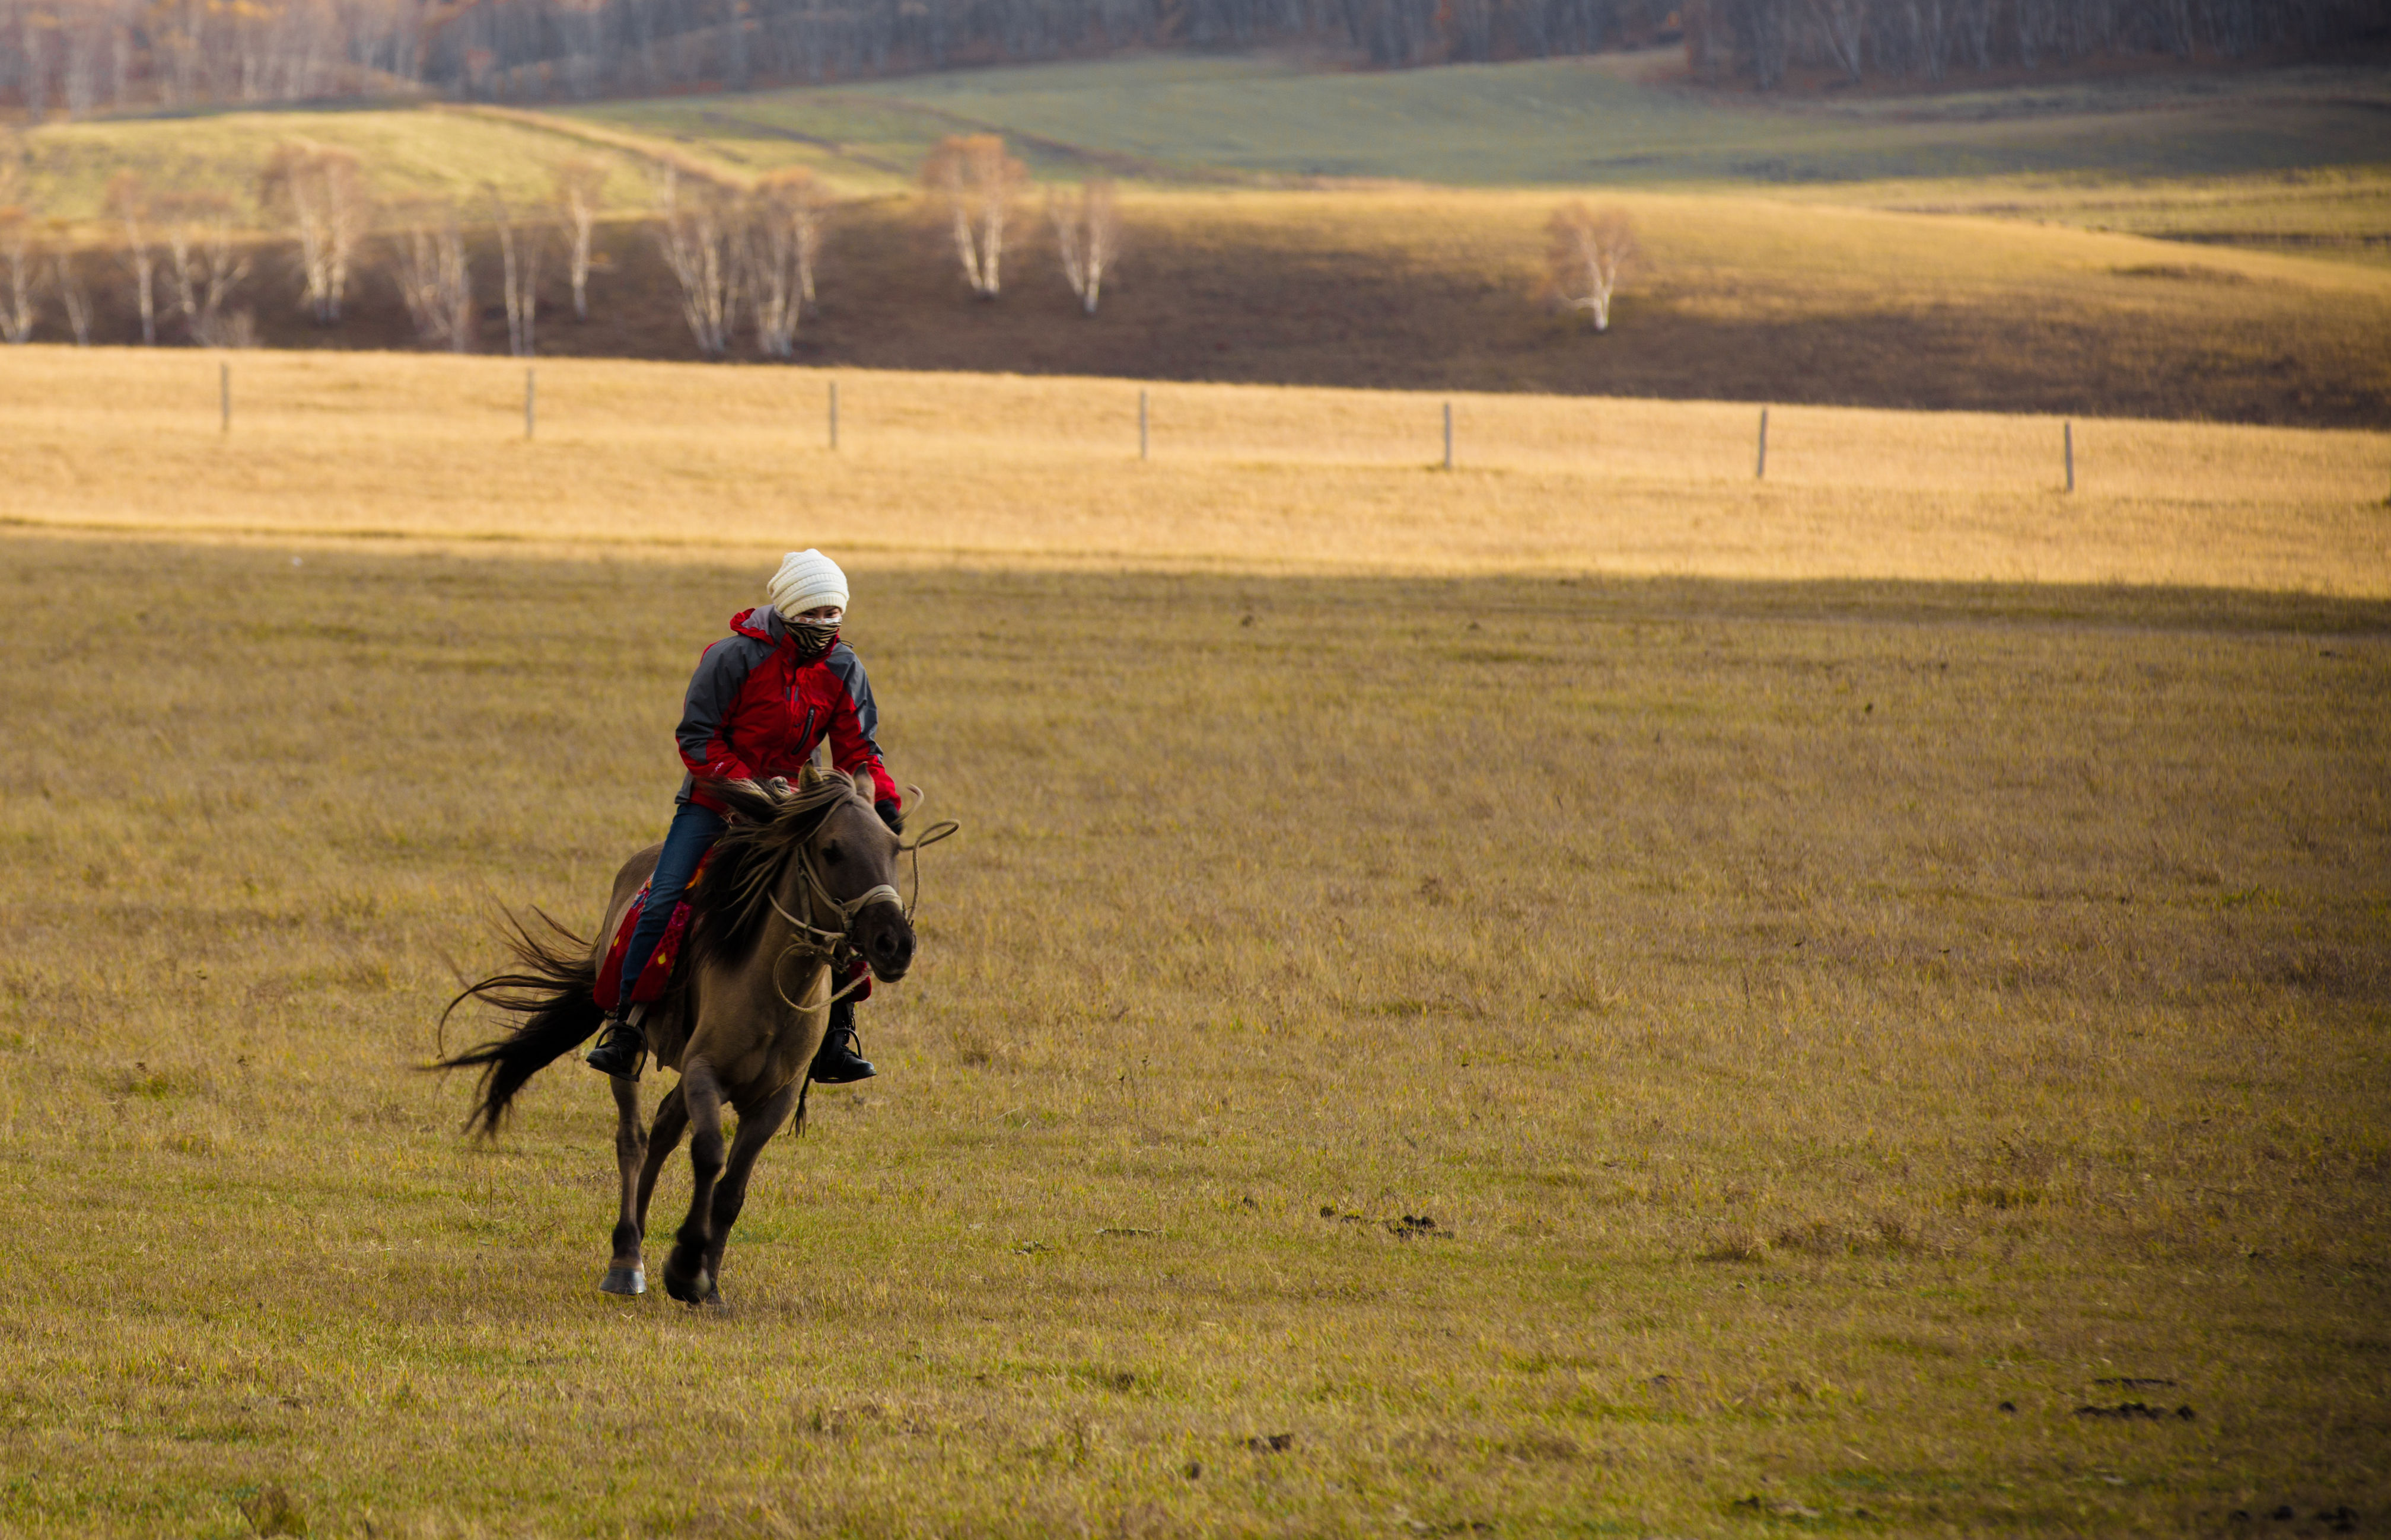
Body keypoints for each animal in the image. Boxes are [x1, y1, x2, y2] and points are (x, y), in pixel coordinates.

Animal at [435, 770, 928, 1310]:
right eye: (831, 850)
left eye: (894, 846)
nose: (895, 944)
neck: (772, 985)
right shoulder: (704, 1071)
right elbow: (709, 1152)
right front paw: (686, 1264)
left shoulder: (774, 1097)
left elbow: (732, 1188)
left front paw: (707, 1280)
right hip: (626, 1055)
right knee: (633, 1139)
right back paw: (626, 1259)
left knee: (665, 1126)